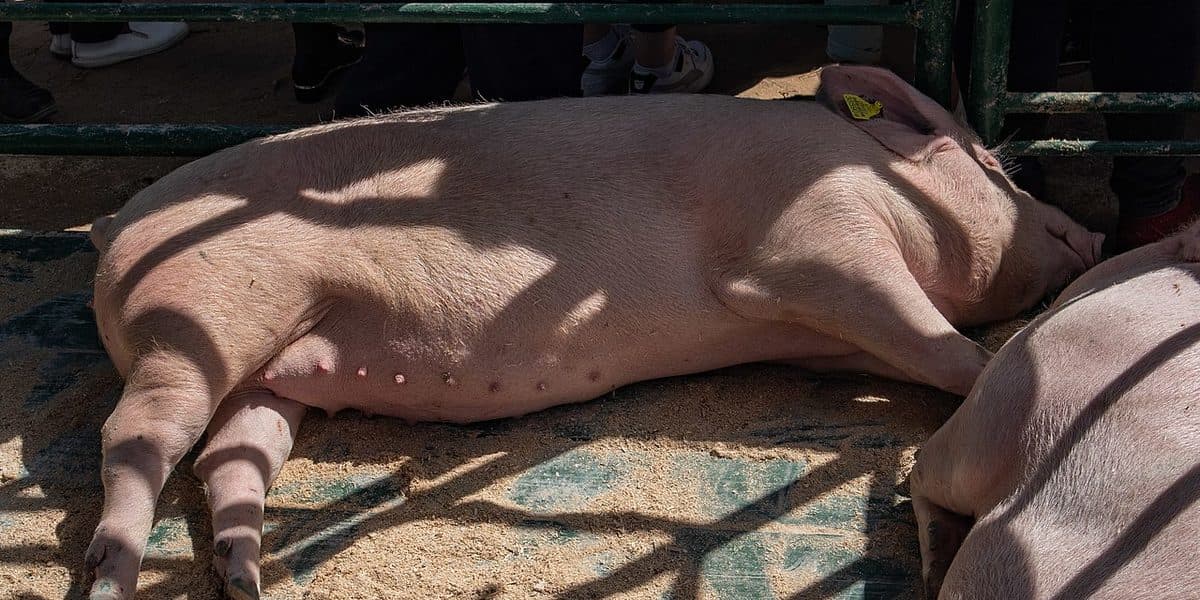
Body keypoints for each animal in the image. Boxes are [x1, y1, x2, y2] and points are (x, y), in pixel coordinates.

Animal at [83, 65, 1101, 599]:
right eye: (997, 163)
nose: (1091, 232)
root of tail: (111, 227)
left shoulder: (828, 329)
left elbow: (920, 352)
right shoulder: (815, 240)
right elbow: (939, 342)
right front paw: (994, 364)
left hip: (270, 364)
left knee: (230, 456)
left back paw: (246, 578)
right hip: (204, 313)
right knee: (137, 433)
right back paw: (107, 577)